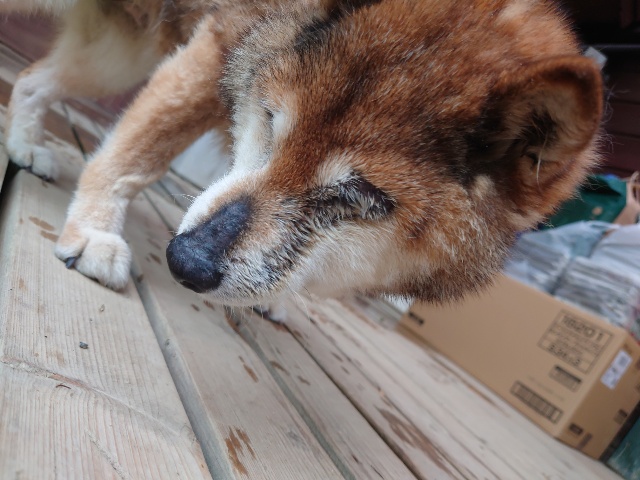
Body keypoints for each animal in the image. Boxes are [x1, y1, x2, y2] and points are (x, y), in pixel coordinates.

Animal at [2, 0, 603, 309]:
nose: (186, 260)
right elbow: (137, 152)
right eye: (271, 120)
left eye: (360, 195)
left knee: (35, 80)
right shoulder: (219, 43)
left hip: (116, 55)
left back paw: (26, 142)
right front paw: (95, 233)